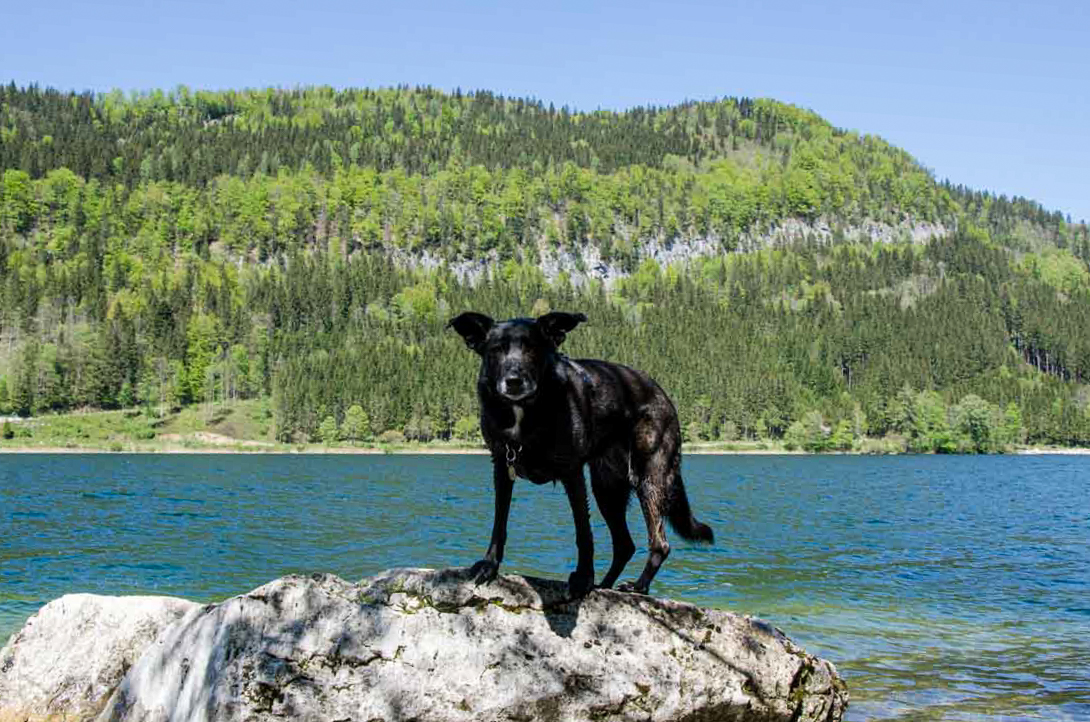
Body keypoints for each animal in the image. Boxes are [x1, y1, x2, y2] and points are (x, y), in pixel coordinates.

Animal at [446, 311, 710, 597]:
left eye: (532, 349)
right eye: (496, 350)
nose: (514, 381)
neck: (526, 411)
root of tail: (661, 393)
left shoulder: (572, 473)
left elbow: (583, 532)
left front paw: (583, 578)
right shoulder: (503, 467)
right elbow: (499, 524)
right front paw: (489, 565)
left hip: (648, 478)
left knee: (660, 542)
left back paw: (638, 586)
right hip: (607, 488)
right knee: (625, 544)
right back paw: (605, 585)